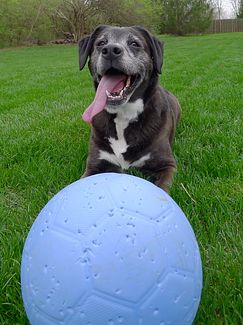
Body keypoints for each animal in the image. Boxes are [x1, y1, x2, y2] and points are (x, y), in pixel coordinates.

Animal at [78, 26, 180, 192]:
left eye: (134, 43)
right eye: (101, 43)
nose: (110, 50)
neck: (123, 114)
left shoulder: (167, 166)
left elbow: (162, 189)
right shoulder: (94, 165)